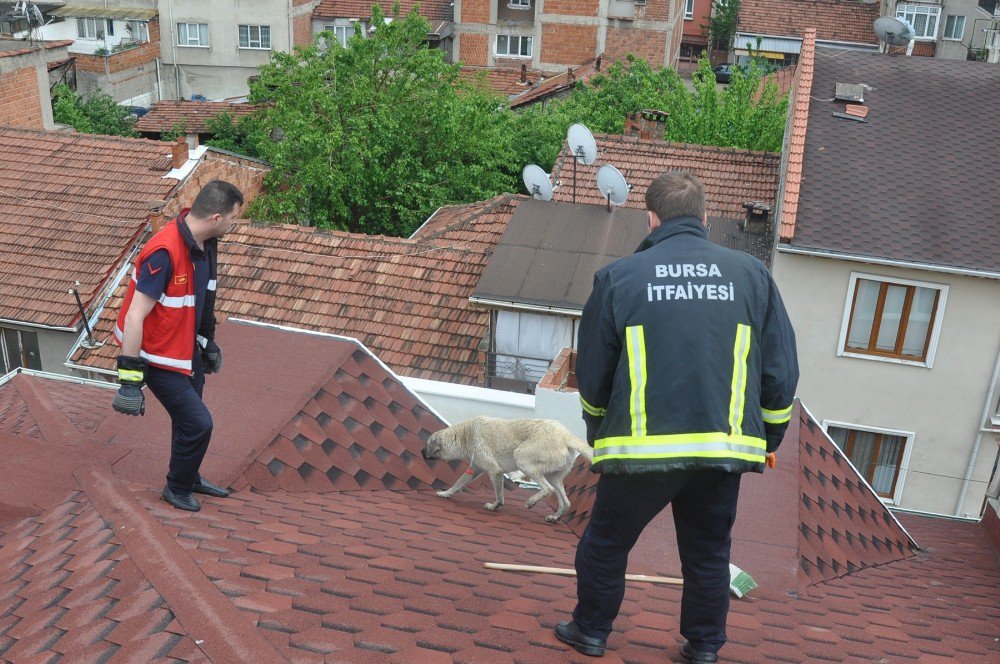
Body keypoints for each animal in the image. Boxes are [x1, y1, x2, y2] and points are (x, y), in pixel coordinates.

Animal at [422, 418, 592, 520]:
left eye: (427, 445)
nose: (422, 453)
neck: (464, 435)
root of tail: (565, 435)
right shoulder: (475, 470)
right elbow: (458, 483)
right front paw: (445, 494)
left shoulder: (494, 471)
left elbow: (499, 496)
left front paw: (494, 506)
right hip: (553, 477)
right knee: (566, 502)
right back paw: (555, 517)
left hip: (522, 459)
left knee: (547, 489)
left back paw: (530, 502)